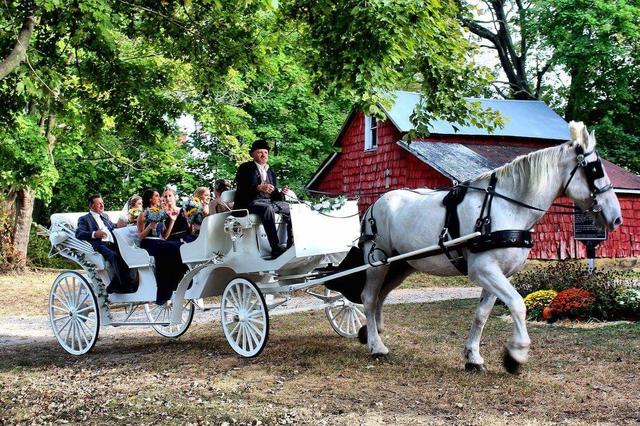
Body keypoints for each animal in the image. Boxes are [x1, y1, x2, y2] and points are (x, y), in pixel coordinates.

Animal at [358, 121, 622, 374]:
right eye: (596, 169)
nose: (617, 218)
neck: (506, 208)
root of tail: (374, 205)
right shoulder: (484, 270)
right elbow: (517, 304)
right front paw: (516, 355)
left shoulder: (500, 273)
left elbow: (481, 315)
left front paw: (473, 357)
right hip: (378, 262)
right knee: (369, 298)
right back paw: (377, 346)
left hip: (401, 265)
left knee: (381, 295)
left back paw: (372, 332)